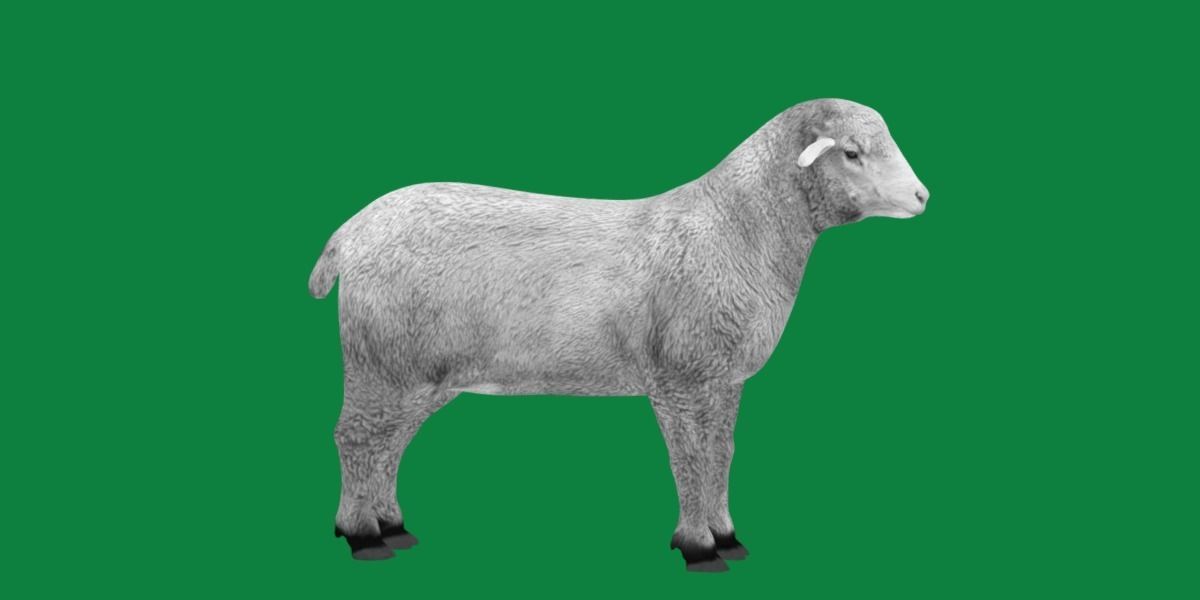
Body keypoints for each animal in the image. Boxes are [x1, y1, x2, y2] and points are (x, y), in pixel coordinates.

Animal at [309, 98, 929, 571]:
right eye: (851, 152)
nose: (922, 196)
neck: (736, 228)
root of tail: (350, 232)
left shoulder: (725, 380)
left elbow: (721, 453)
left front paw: (727, 536)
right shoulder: (680, 379)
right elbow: (689, 458)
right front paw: (699, 548)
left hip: (417, 374)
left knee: (387, 444)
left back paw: (390, 525)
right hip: (383, 361)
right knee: (356, 438)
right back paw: (362, 536)